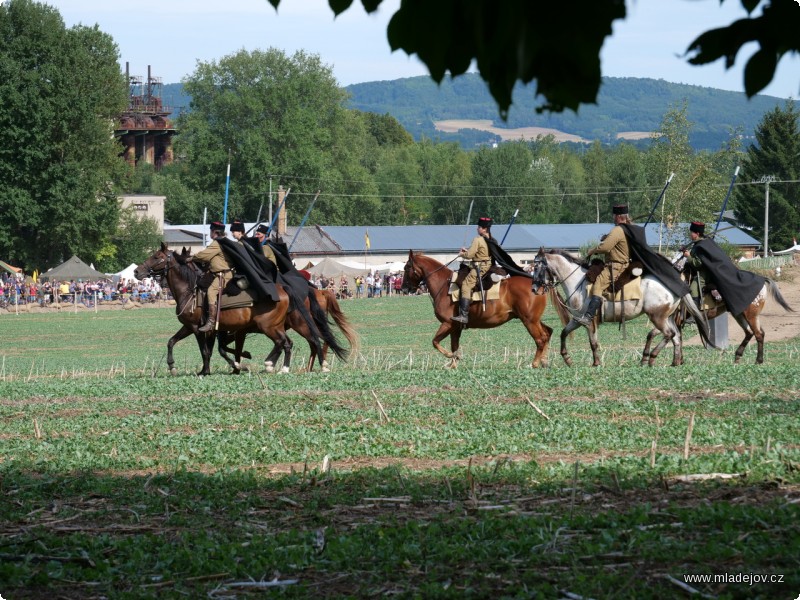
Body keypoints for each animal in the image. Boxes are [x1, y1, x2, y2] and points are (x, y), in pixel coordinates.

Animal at [134, 243, 296, 376]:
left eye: (157, 257)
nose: (136, 271)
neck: (189, 291)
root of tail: (283, 290)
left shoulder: (198, 329)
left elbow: (205, 351)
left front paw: (206, 371)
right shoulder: (192, 327)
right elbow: (172, 341)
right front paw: (173, 366)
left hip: (267, 326)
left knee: (281, 342)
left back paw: (269, 364)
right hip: (276, 326)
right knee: (287, 342)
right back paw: (284, 368)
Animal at [400, 248, 552, 366]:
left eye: (407, 268)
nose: (404, 289)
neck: (444, 286)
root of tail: (537, 285)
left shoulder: (447, 323)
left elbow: (435, 342)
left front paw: (451, 357)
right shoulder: (455, 327)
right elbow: (454, 346)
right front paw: (453, 364)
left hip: (529, 321)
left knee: (540, 339)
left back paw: (535, 363)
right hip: (534, 320)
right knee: (547, 333)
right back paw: (544, 361)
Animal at [536, 247, 708, 368]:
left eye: (537, 267)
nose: (535, 288)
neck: (578, 282)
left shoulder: (588, 321)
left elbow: (593, 343)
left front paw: (596, 363)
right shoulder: (578, 320)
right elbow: (564, 333)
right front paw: (567, 359)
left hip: (657, 317)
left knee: (669, 334)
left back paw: (651, 358)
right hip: (668, 317)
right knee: (676, 337)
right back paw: (674, 362)